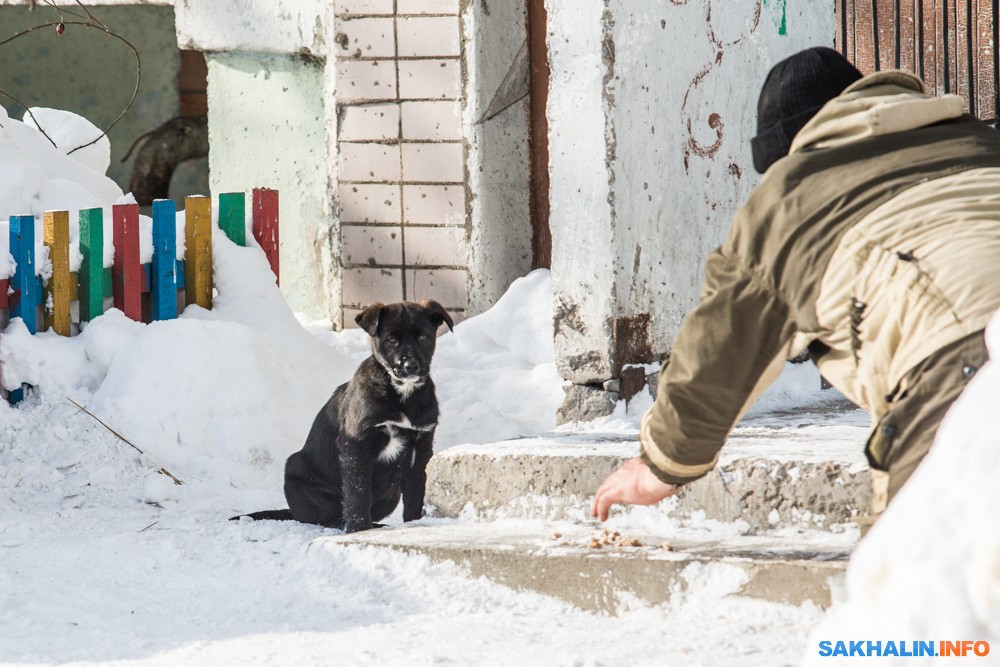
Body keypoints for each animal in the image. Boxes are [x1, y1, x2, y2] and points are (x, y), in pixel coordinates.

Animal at [234, 300, 454, 536]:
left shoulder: (422, 447)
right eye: (391, 340)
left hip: (392, 494)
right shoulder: (356, 445)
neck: (402, 394)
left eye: (423, 337)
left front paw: (413, 524)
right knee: (325, 517)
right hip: (295, 469)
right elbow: (358, 493)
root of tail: (292, 512)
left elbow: (415, 492)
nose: (410, 366)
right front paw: (359, 529)